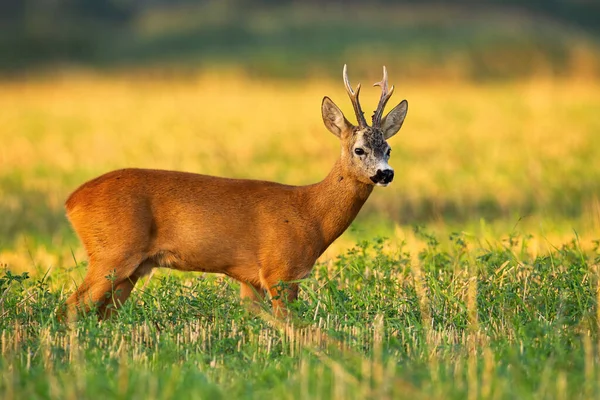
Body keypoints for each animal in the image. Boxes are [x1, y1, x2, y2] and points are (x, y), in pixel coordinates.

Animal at [62, 66, 408, 322]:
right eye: (359, 149)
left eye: (389, 149)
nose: (385, 173)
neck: (310, 213)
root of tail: (71, 201)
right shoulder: (280, 270)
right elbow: (289, 324)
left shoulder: (250, 279)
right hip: (112, 253)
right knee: (72, 305)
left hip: (131, 268)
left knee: (102, 313)